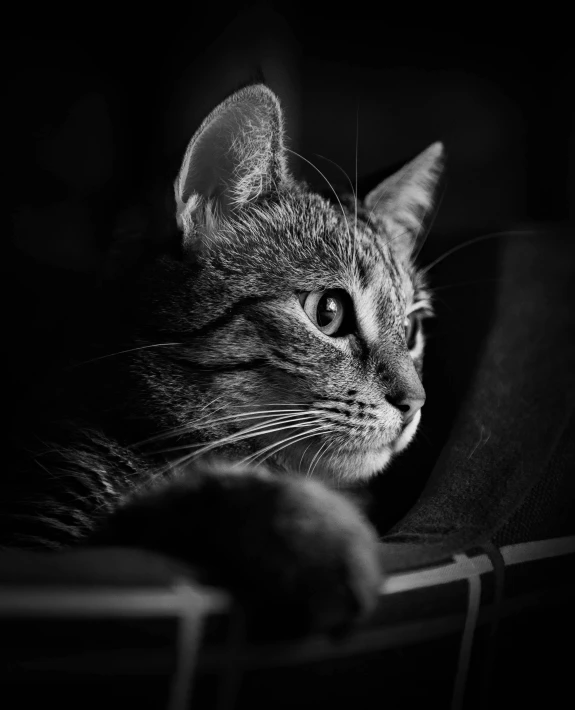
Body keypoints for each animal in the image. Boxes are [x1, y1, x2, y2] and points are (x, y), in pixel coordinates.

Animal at [4, 85, 444, 644]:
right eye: (328, 312)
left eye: (410, 331)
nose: (415, 403)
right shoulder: (41, 534)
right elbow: (185, 499)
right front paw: (318, 536)